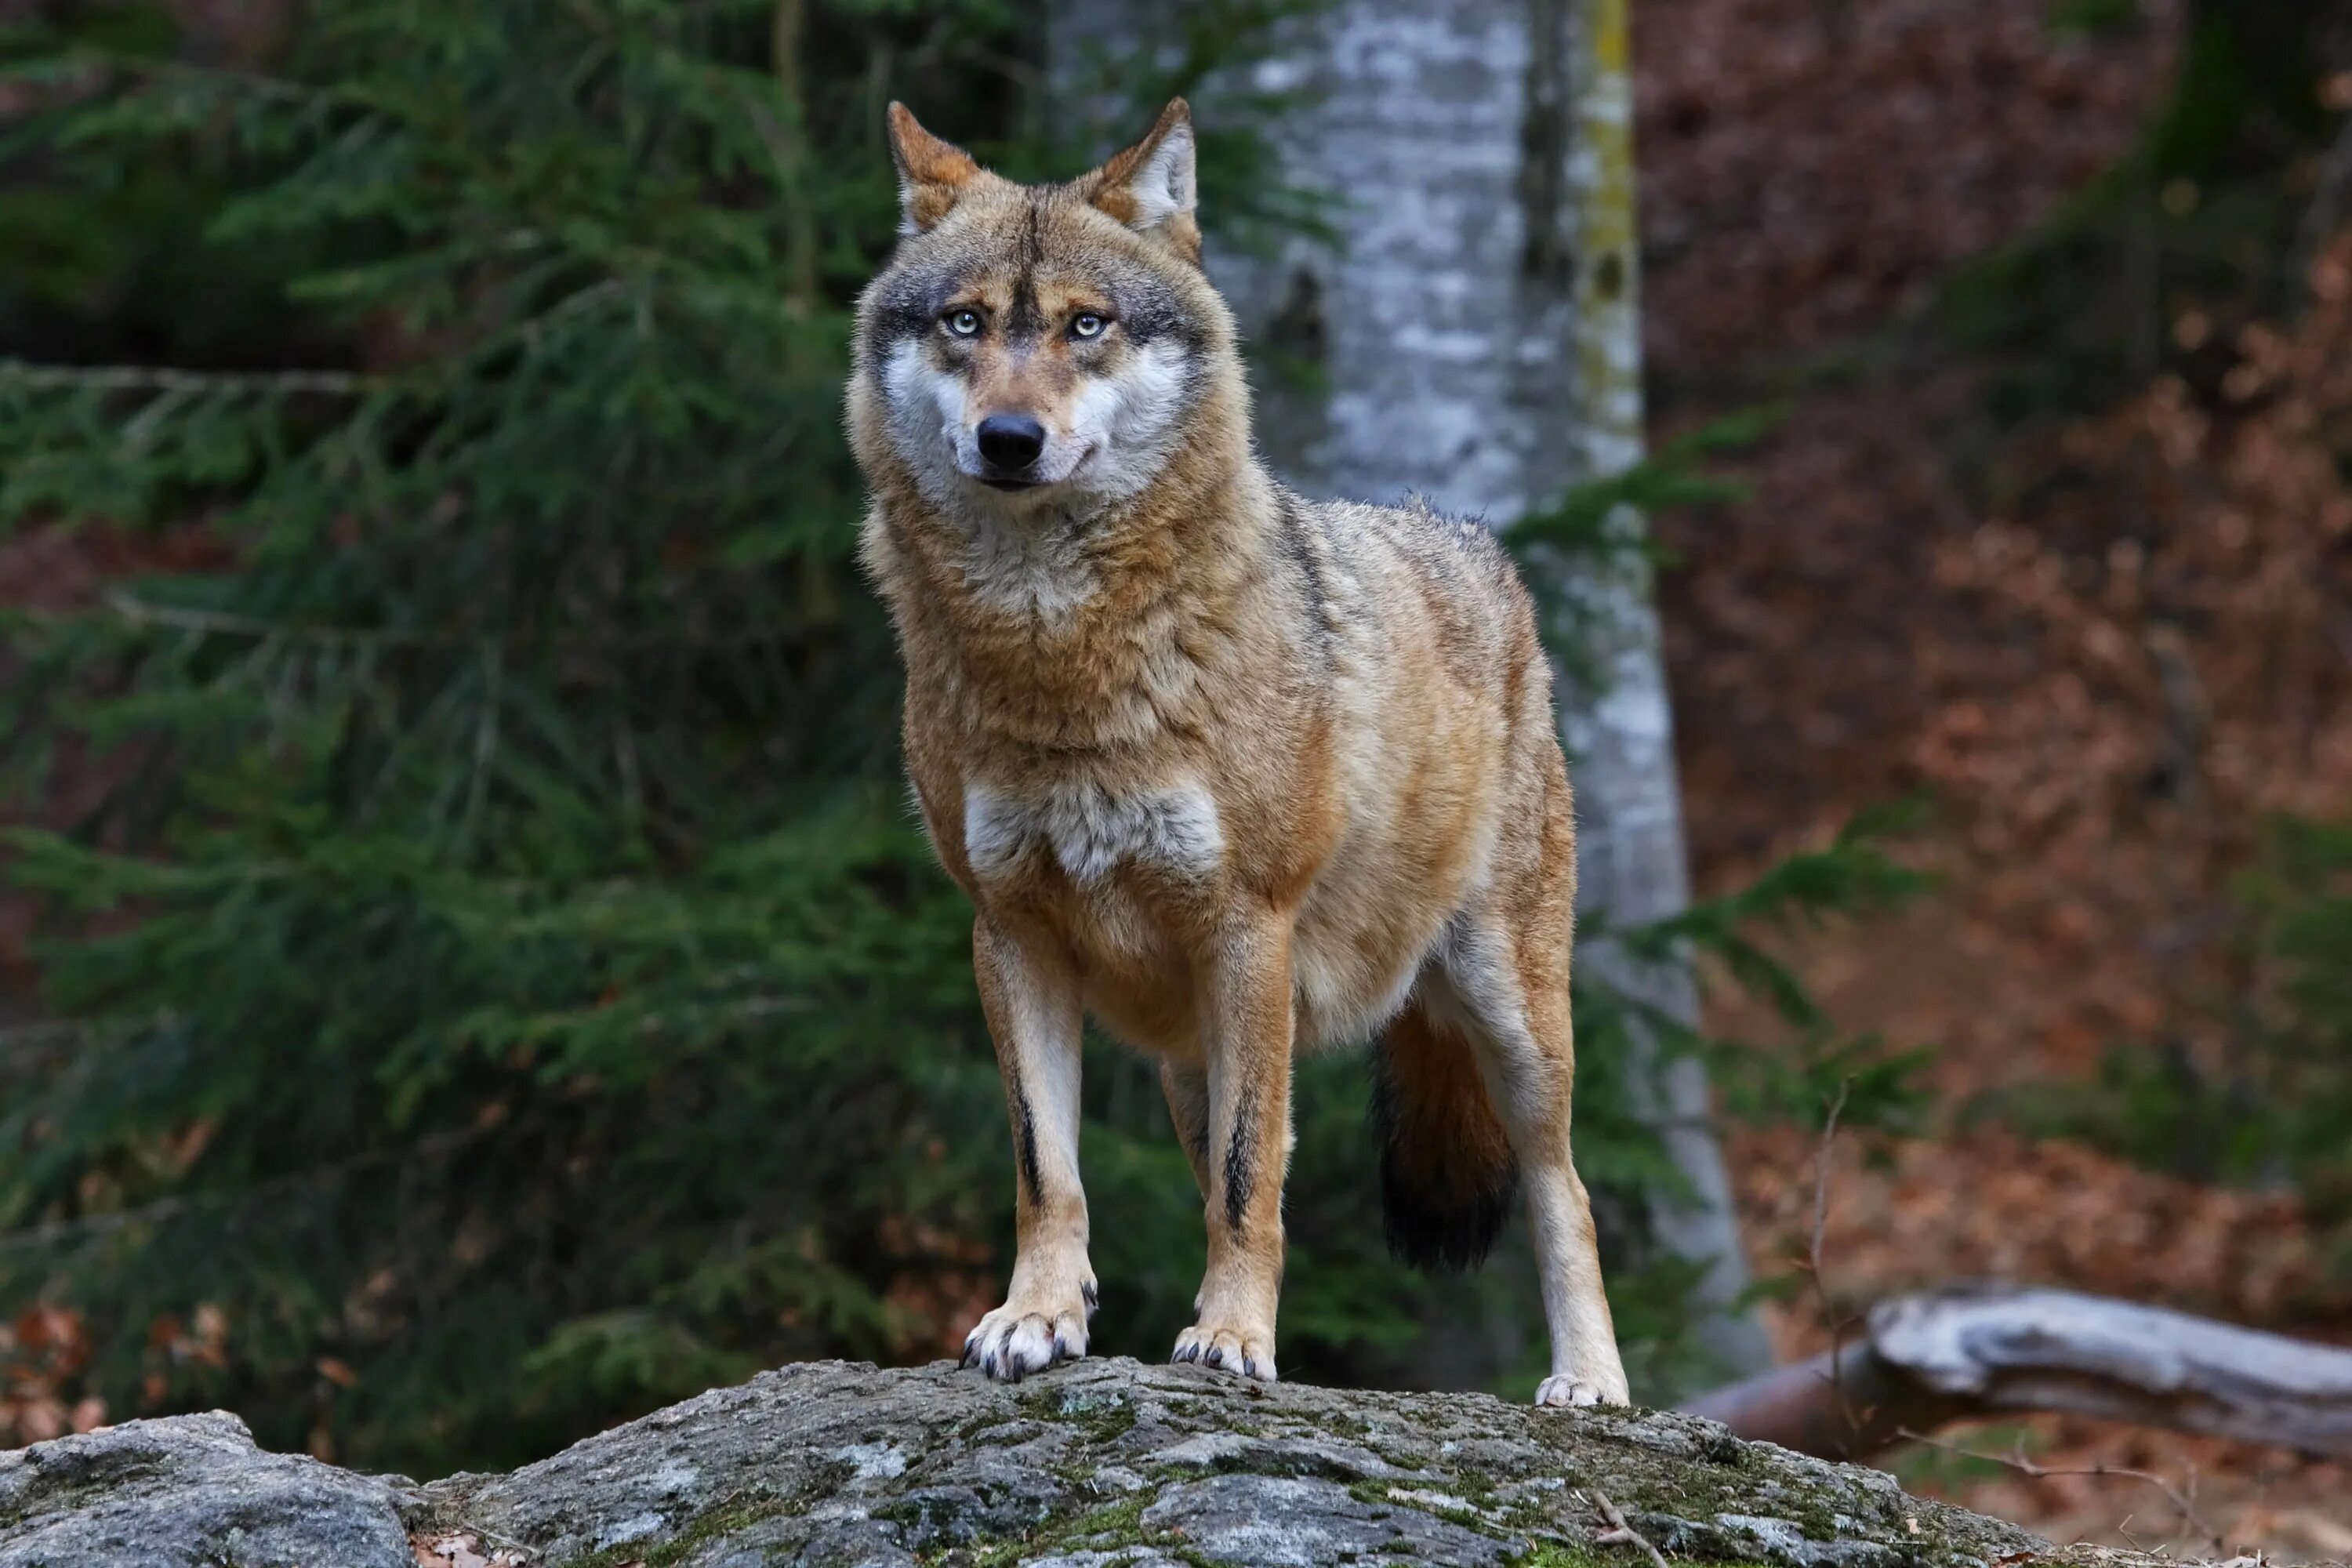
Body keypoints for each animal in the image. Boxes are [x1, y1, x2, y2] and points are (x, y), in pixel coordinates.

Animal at [851, 92, 1637, 1401]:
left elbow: (1242, 1181)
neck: (1057, 658)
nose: (1009, 438)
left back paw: (1590, 1386)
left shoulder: (1247, 926)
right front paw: (1040, 1315)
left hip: (1508, 1016)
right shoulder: (1007, 930)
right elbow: (1044, 1166)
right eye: (967, 322)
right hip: (1186, 1052)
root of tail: (1480, 546)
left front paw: (1230, 1341)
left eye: (1086, 326)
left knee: (1563, 1190)